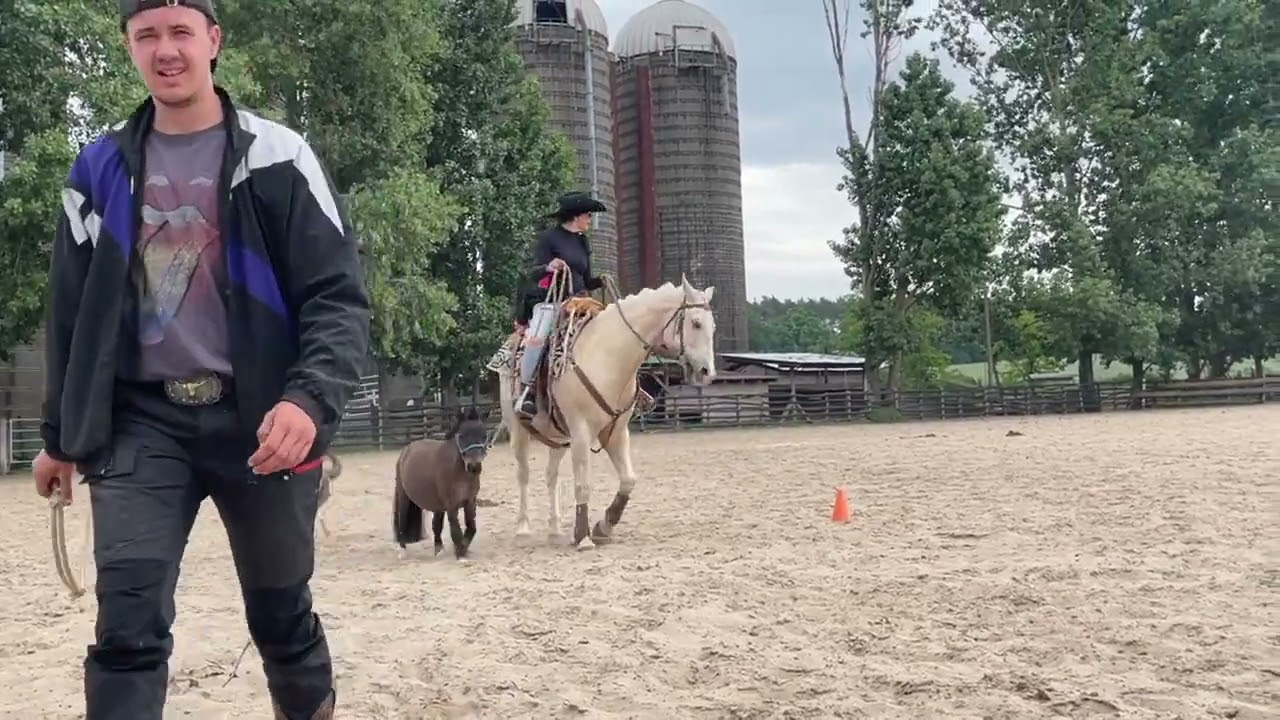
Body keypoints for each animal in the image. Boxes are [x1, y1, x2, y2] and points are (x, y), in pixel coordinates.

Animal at [491, 274, 716, 548]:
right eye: (696, 323)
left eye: (713, 327)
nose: (708, 372)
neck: (608, 355)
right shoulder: (581, 431)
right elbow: (582, 485)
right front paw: (582, 536)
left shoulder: (616, 433)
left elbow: (628, 479)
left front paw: (603, 527)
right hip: (519, 429)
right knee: (523, 473)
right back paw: (523, 529)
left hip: (558, 437)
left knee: (550, 475)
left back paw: (554, 529)